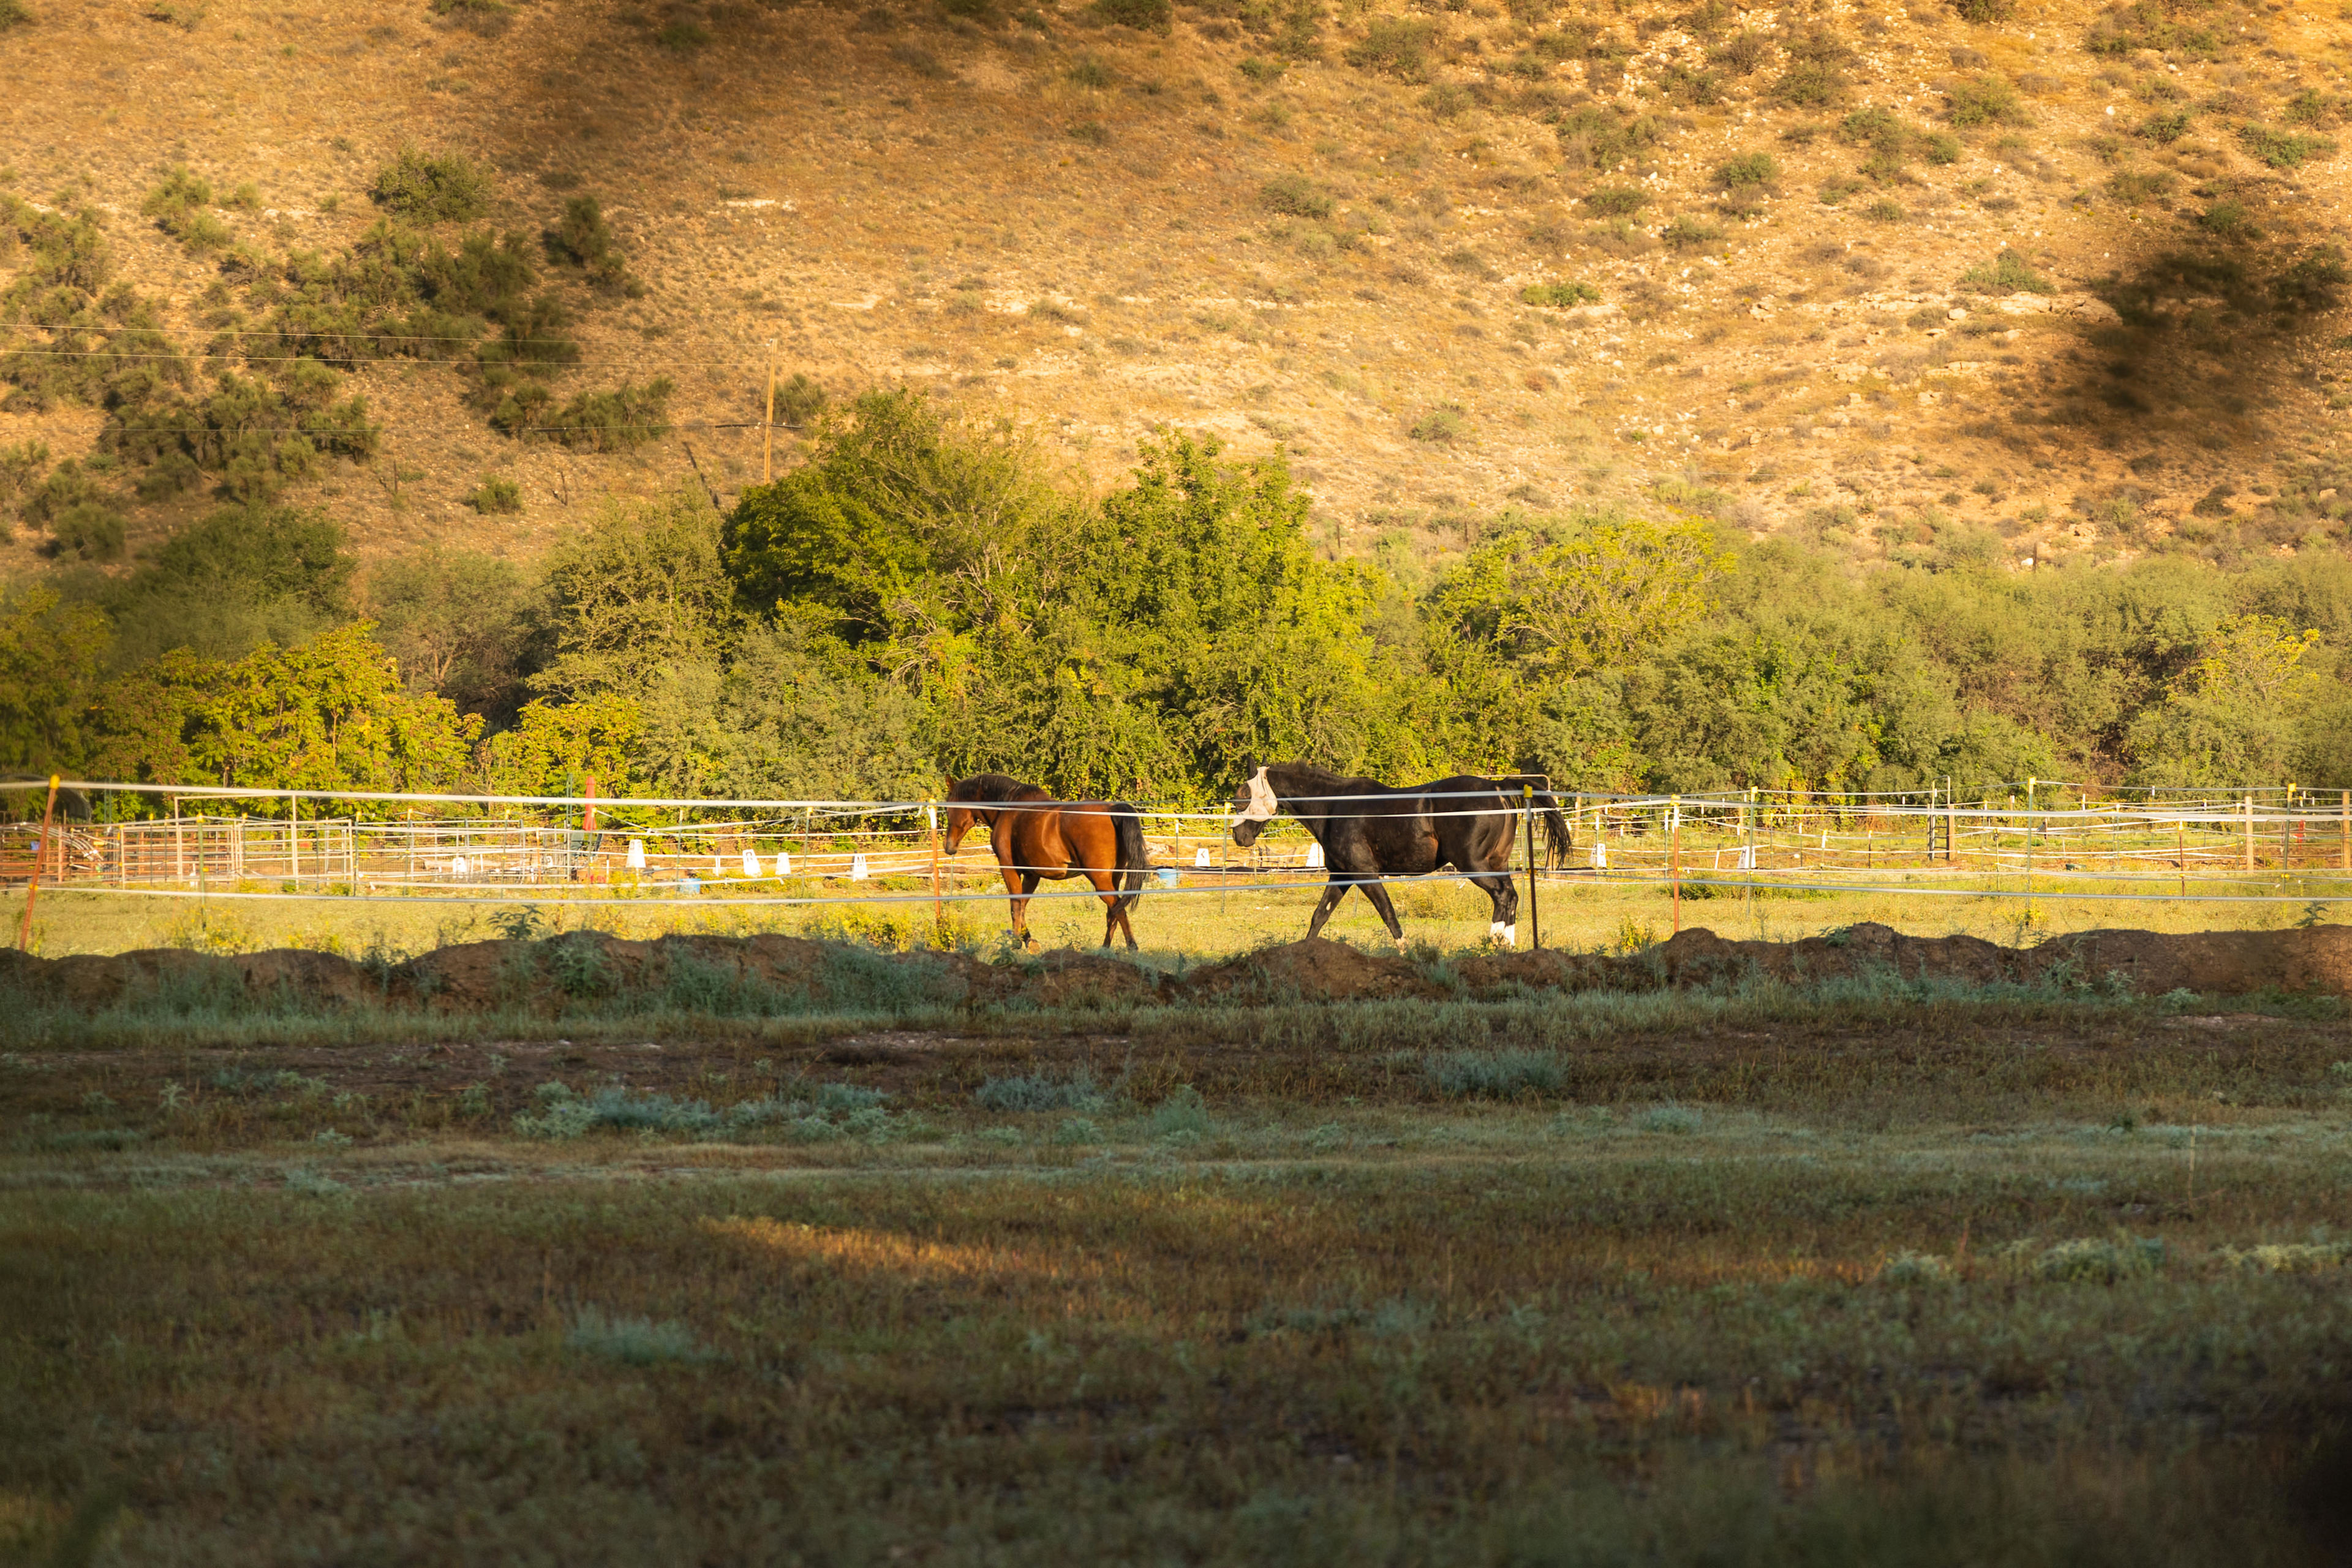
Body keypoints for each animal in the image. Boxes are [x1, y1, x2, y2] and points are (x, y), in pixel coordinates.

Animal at [942, 774, 1153, 950]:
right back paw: (1105, 948)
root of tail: (1112, 809)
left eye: (949, 807)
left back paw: (1131, 946)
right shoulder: (1032, 875)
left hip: (1100, 880)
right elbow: (1023, 905)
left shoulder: (1009, 869)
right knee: (1113, 912)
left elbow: (1015, 906)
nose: (949, 847)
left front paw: (1016, 943)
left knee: (1119, 910)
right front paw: (1028, 941)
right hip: (1114, 877)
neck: (1009, 809)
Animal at [1227, 759, 1573, 952]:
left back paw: (1494, 943)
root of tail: (1498, 789)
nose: (1239, 837)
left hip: (1473, 865)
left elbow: (1388, 913)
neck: (1333, 808)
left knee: (1503, 896)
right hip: (1494, 864)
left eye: (1243, 797)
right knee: (1510, 897)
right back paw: (1506, 947)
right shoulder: (1342, 876)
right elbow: (1319, 916)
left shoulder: (1365, 874)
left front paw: (1405, 952)